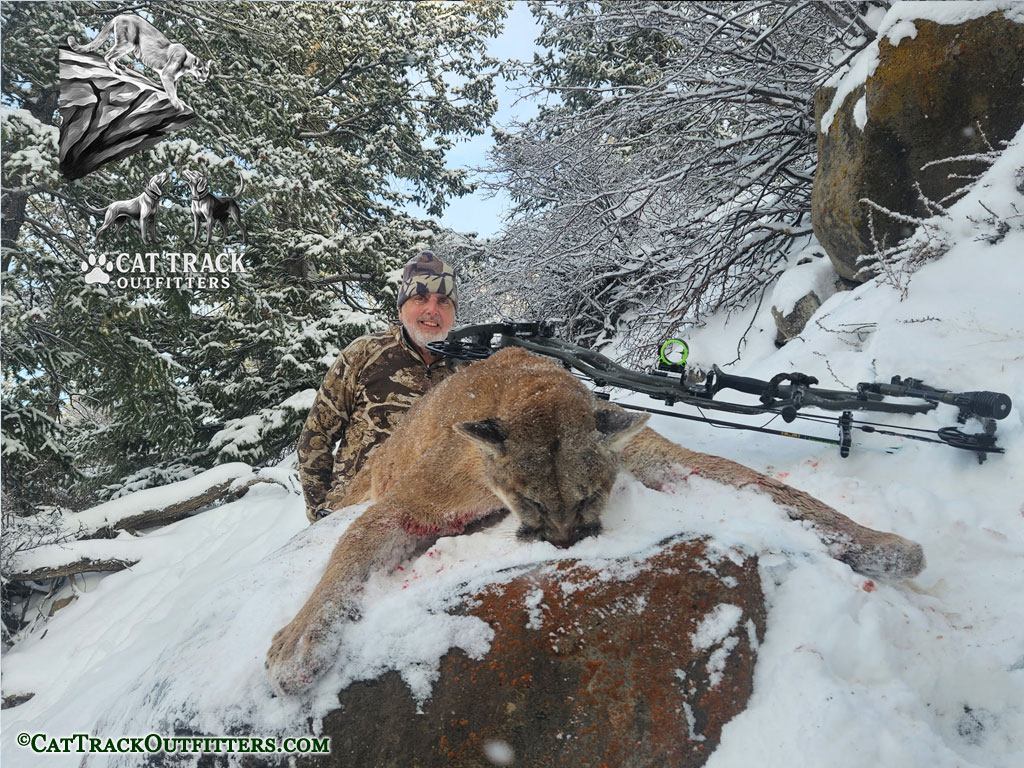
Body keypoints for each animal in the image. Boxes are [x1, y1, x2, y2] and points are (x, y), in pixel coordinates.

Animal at [266, 347, 923, 695]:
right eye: (529, 501)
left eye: (590, 497)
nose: (563, 540)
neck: (530, 387)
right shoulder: (413, 504)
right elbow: (350, 545)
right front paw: (298, 642)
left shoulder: (653, 456)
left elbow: (762, 484)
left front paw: (882, 546)